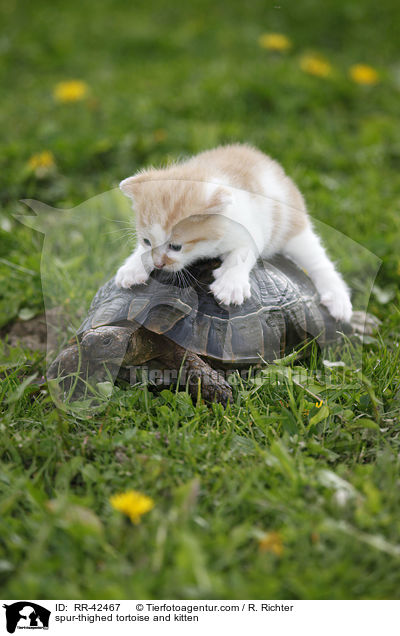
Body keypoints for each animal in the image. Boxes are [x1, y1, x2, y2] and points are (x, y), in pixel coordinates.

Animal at [116, 145, 354, 322]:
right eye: (147, 241)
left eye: (176, 247)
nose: (158, 265)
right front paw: (133, 267)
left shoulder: (251, 228)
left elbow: (243, 252)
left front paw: (230, 284)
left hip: (294, 229)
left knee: (319, 262)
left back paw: (338, 299)